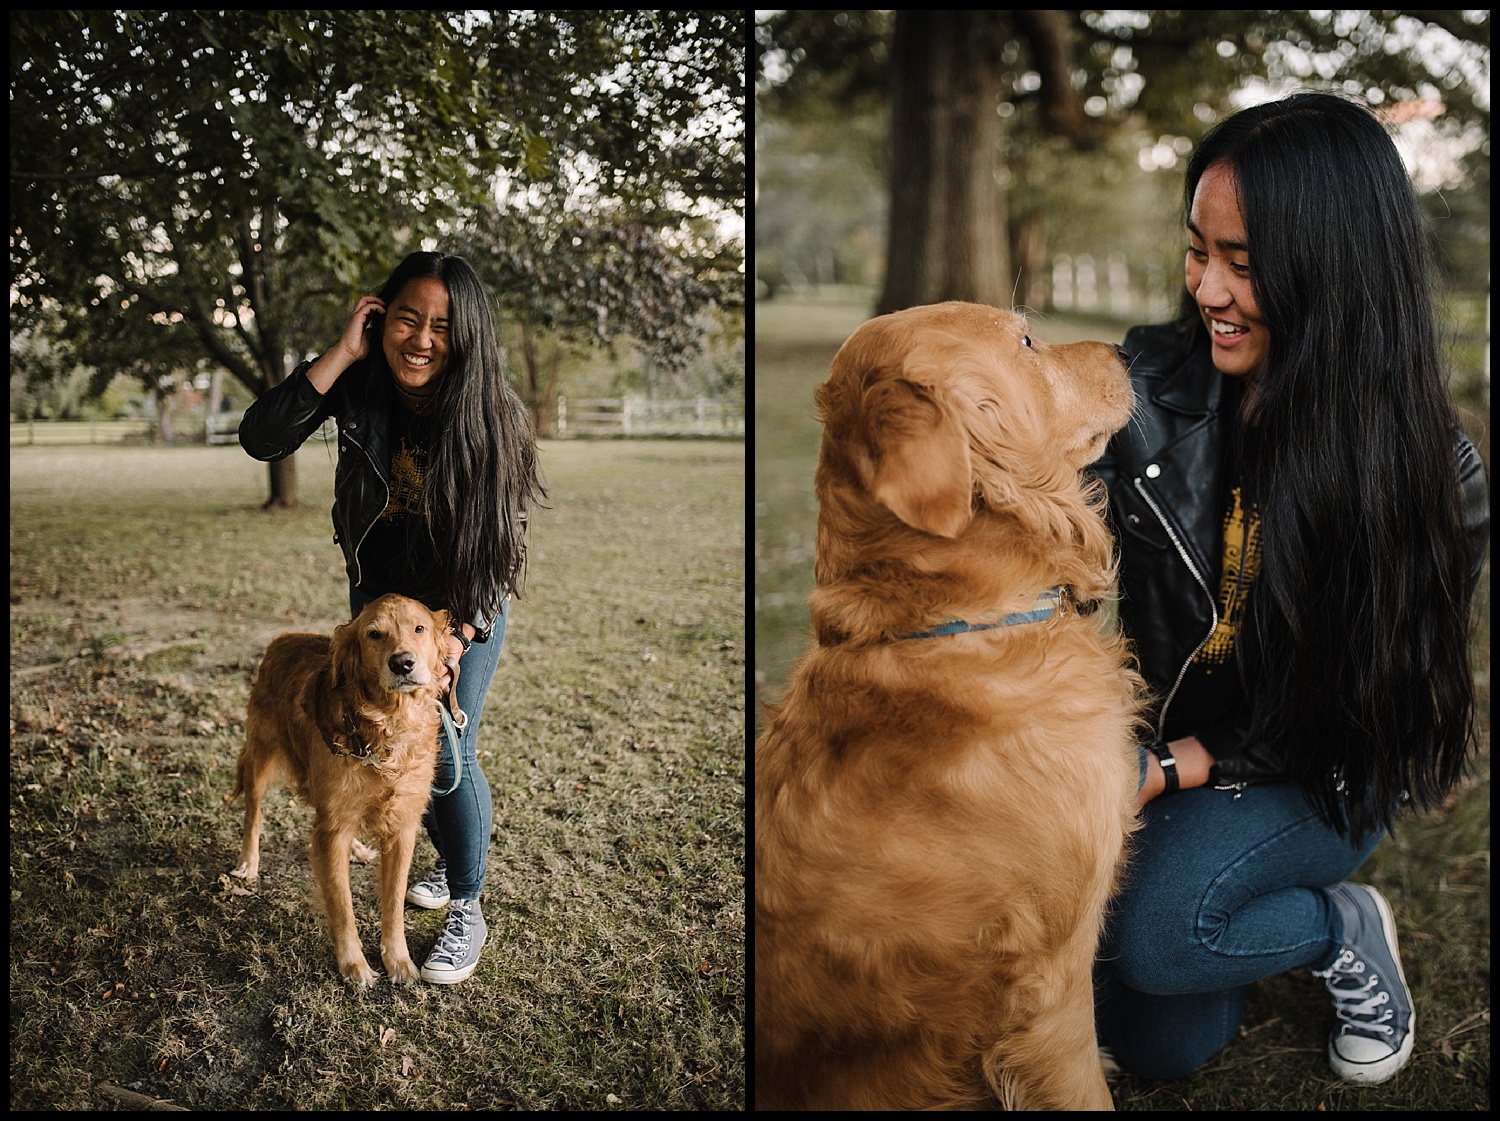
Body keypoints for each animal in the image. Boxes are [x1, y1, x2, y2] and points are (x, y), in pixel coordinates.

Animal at [228, 591, 450, 984]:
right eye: (374, 634)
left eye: (419, 628)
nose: (403, 663)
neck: (388, 724)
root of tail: (285, 636)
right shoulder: (331, 830)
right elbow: (341, 903)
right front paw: (353, 965)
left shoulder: (403, 828)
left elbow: (393, 904)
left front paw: (399, 960)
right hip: (261, 756)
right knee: (253, 812)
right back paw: (248, 863)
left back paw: (357, 849)